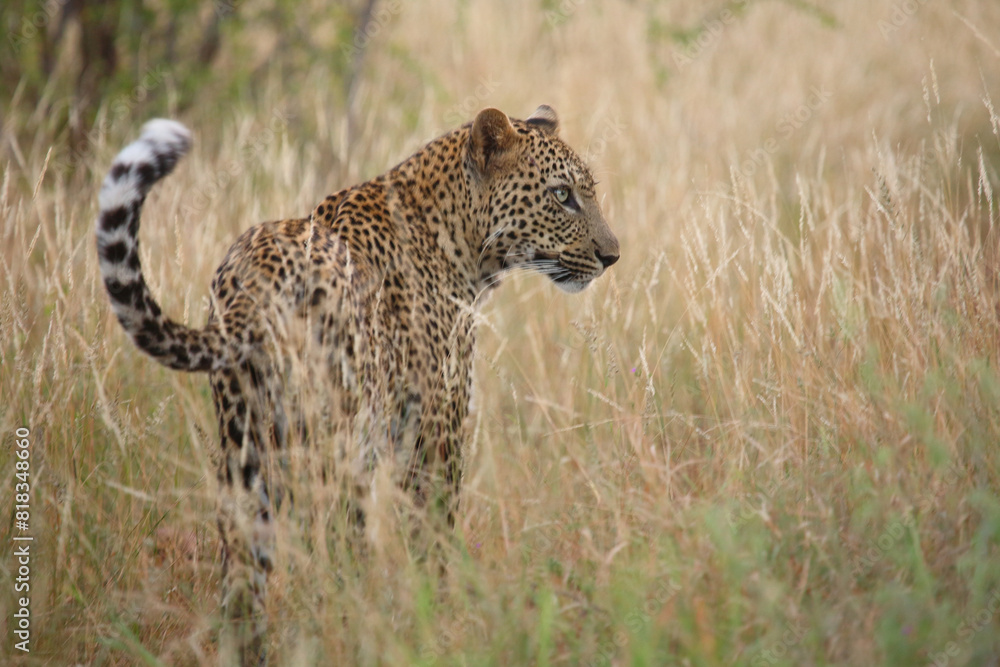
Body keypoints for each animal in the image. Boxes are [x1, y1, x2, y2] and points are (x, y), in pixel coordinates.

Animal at [96, 105, 619, 665]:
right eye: (562, 195)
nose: (611, 255)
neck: (461, 242)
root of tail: (256, 278)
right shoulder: (437, 434)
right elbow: (433, 540)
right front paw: (436, 621)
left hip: (245, 451)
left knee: (242, 580)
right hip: (336, 449)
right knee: (331, 555)